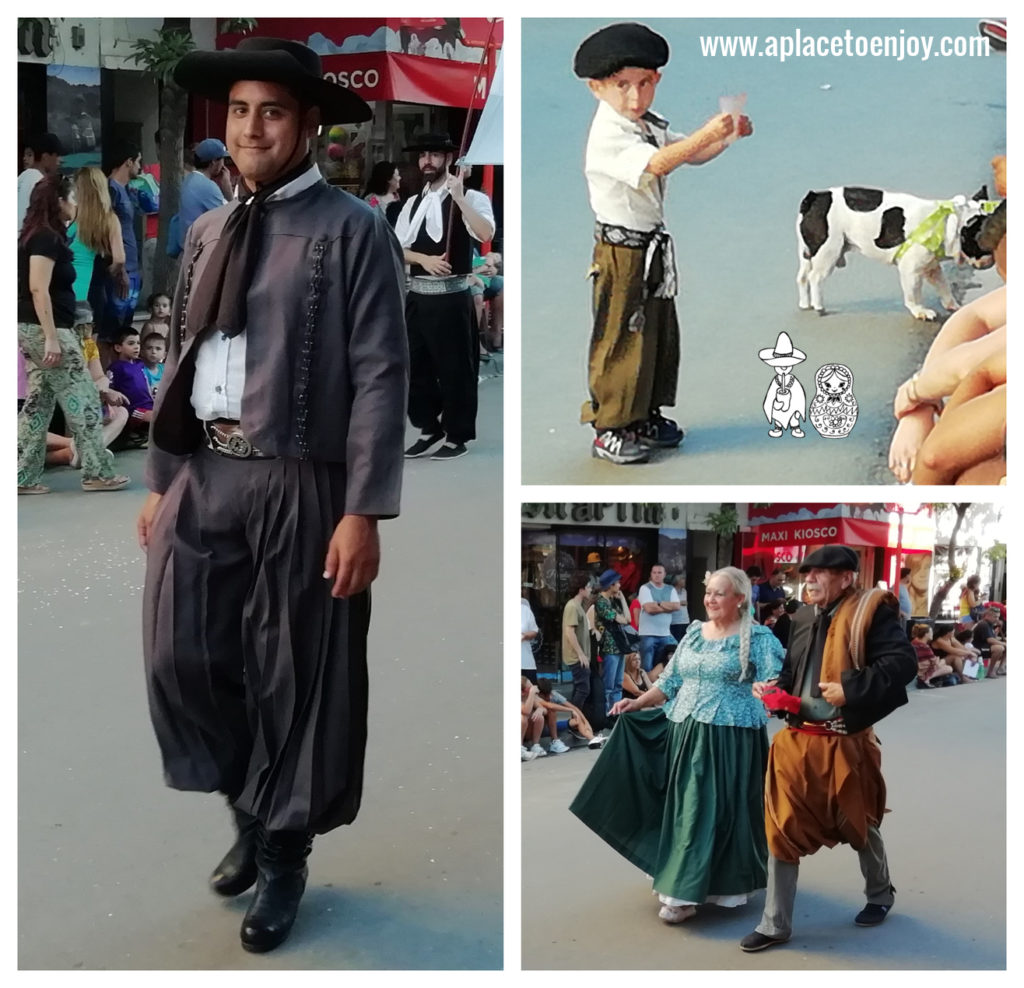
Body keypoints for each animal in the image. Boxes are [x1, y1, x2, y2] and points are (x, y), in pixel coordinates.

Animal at [794, 186, 995, 319]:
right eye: (984, 245)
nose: (993, 259)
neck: (947, 222)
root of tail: (813, 199)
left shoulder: (931, 266)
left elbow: (943, 285)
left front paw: (953, 305)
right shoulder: (911, 269)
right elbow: (913, 292)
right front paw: (920, 311)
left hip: (807, 253)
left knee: (802, 277)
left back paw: (805, 304)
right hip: (828, 251)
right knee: (815, 277)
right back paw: (819, 307)